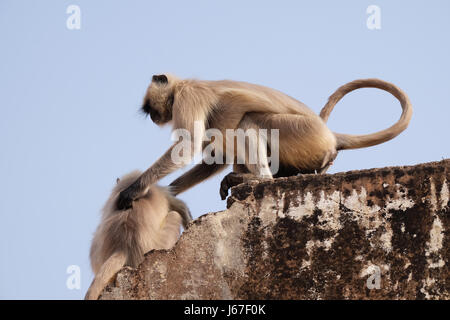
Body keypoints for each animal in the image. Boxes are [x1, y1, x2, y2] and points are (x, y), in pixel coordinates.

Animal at [115, 74, 412, 209]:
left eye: (150, 107)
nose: (154, 116)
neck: (183, 85)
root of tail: (329, 134)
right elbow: (215, 157)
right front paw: (167, 194)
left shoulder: (189, 97)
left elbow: (188, 146)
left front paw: (134, 190)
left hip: (302, 134)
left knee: (247, 122)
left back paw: (259, 178)